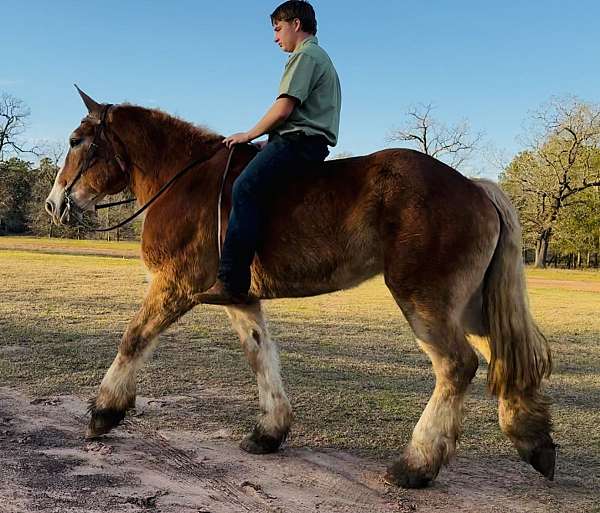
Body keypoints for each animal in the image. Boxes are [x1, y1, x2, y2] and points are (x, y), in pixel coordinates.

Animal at [44, 89, 556, 488]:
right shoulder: (240, 298)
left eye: (75, 141)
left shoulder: (175, 286)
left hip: (424, 301)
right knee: (511, 354)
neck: (184, 179)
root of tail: (473, 185)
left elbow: (134, 339)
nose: (53, 204)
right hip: (470, 306)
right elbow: (260, 355)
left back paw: (417, 465)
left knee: (457, 365)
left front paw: (105, 411)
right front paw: (270, 431)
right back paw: (534, 441)